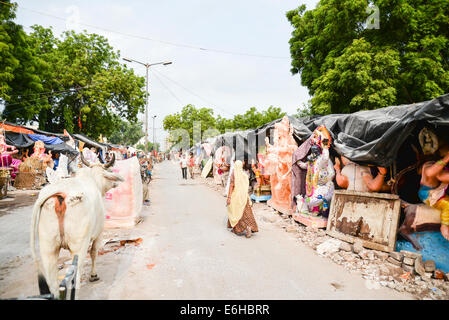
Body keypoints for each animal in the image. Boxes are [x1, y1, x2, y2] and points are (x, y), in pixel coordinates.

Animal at [30, 152, 123, 298]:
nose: (115, 183)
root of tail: (60, 193)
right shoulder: (99, 234)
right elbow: (94, 252)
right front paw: (93, 275)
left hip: (48, 247)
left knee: (52, 281)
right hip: (78, 246)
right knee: (76, 278)